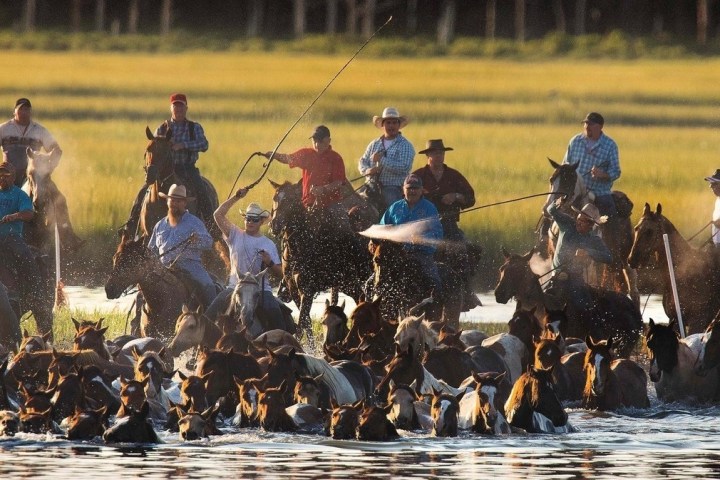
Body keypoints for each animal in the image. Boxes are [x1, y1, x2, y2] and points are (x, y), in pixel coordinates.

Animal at [268, 179, 373, 340]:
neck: (300, 246)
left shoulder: (307, 290)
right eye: (275, 198)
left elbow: (301, 324)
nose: (275, 225)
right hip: (346, 283)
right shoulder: (294, 290)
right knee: (360, 297)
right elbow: (306, 324)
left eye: (291, 200)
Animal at [541, 158, 639, 306]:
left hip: (624, 259)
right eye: (551, 179)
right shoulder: (554, 255)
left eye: (568, 180)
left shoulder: (589, 262)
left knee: (631, 289)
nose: (546, 209)